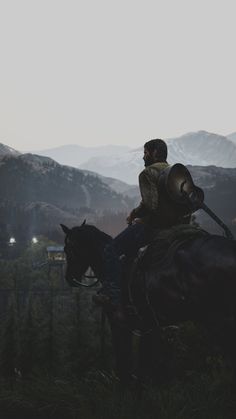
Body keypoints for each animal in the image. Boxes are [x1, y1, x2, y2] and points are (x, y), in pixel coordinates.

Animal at [60, 225, 236, 382]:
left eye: (68, 249)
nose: (69, 277)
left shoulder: (119, 324)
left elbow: (124, 366)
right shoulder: (150, 327)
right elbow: (146, 368)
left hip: (218, 321)